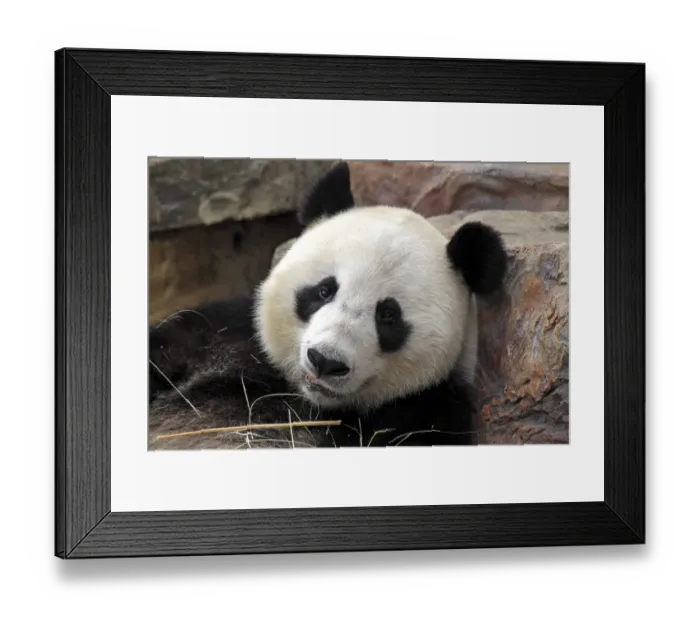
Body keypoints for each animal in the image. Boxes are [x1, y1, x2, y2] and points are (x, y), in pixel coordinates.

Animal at [148, 162, 507, 450]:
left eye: (388, 315)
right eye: (324, 291)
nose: (325, 361)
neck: (309, 401)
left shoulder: (431, 406)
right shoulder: (221, 333)